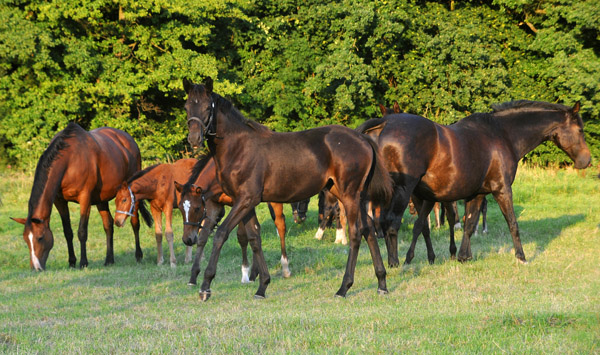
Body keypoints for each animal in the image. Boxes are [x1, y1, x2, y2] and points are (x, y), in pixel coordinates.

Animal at [11, 124, 151, 272]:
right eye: (25, 239)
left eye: (40, 238)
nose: (36, 268)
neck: (69, 161)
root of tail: (130, 141)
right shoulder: (60, 201)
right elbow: (68, 232)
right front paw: (72, 262)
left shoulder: (85, 199)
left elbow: (82, 231)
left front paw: (83, 262)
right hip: (102, 200)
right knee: (108, 225)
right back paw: (109, 260)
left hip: (131, 195)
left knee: (135, 223)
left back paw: (138, 256)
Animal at [172, 156, 292, 286]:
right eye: (180, 207)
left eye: (197, 208)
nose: (187, 239)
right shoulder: (214, 203)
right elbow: (203, 237)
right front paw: (193, 276)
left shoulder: (241, 204)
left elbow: (242, 236)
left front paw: (244, 274)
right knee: (258, 228)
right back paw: (255, 273)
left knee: (280, 225)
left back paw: (285, 267)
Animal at [358, 101, 588, 266]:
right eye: (580, 130)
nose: (586, 161)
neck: (502, 135)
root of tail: (385, 124)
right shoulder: (502, 189)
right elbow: (512, 223)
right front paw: (521, 257)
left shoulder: (477, 193)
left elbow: (469, 224)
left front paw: (463, 256)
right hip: (402, 192)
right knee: (391, 223)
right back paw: (395, 262)